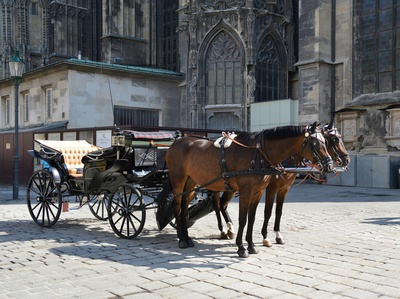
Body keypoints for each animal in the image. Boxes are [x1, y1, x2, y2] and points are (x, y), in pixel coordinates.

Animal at [165, 123, 334, 258]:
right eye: (315, 142)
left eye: (325, 142)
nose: (330, 166)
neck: (260, 153)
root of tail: (177, 142)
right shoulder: (249, 191)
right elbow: (243, 219)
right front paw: (241, 247)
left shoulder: (258, 192)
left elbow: (252, 218)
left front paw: (251, 245)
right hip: (179, 181)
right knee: (178, 207)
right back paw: (183, 239)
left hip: (192, 184)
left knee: (185, 209)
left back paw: (187, 237)